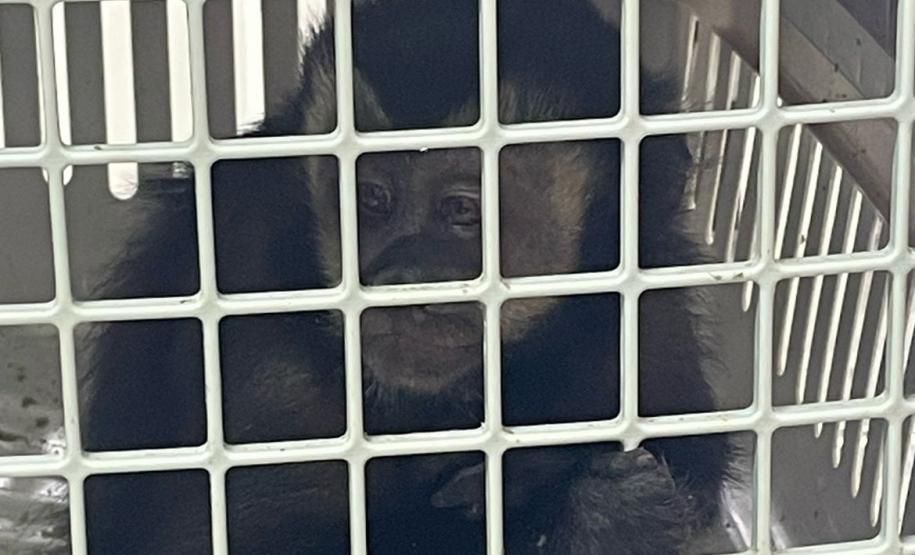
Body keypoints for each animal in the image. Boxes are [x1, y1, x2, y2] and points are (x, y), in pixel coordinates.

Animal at [74, 0, 733, 554]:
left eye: (463, 210)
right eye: (371, 199)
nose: (405, 280)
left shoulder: (646, 313)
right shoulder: (254, 304)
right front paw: (598, 521)